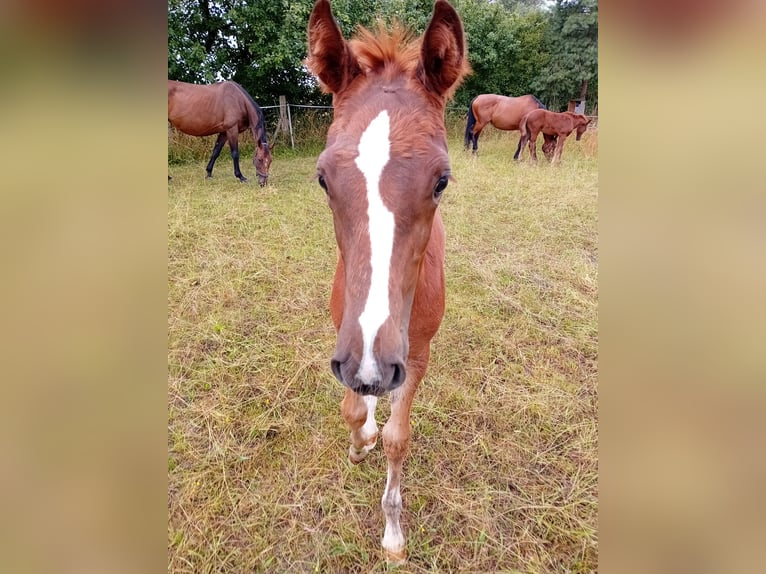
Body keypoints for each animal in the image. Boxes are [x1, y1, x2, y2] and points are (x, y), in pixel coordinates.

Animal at [306, 0, 468, 564]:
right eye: (322, 178)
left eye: (441, 181)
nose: (372, 363)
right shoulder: (349, 340)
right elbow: (351, 408)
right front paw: (360, 444)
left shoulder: (413, 354)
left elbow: (399, 437)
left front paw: (394, 534)